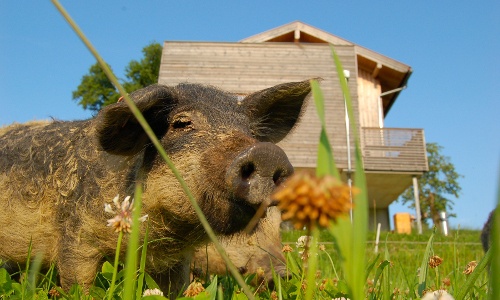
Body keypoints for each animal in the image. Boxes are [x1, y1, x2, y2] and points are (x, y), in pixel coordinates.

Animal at [0, 79, 310, 298]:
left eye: (250, 131)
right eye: (181, 123)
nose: (268, 154)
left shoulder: (178, 261)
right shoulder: (76, 237)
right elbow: (79, 283)